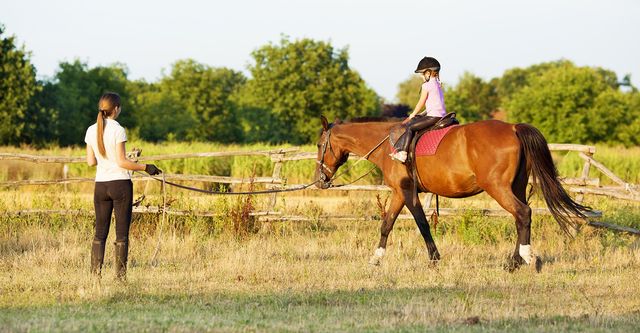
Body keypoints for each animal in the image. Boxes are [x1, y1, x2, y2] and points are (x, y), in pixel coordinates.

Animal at [316, 115, 592, 268]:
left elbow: (422, 224)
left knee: (523, 213)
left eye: (319, 145)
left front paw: (434, 258)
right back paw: (515, 259)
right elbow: (387, 224)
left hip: (498, 188)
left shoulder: (407, 192)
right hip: (517, 186)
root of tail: (514, 127)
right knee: (521, 218)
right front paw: (376, 258)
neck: (388, 145)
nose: (319, 181)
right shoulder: (398, 193)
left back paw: (518, 260)